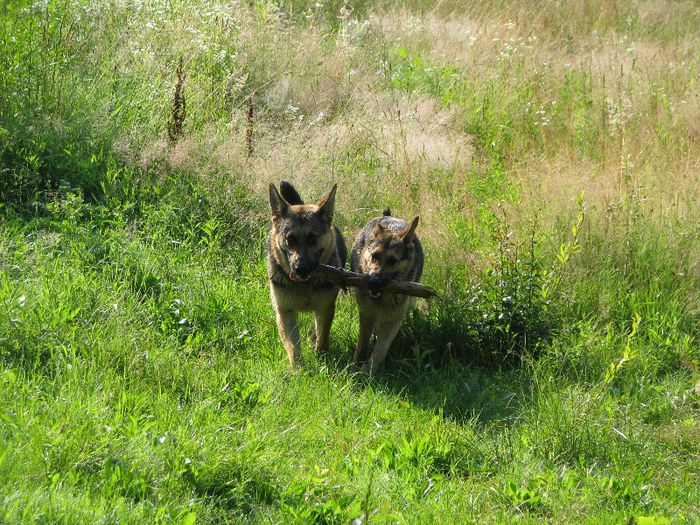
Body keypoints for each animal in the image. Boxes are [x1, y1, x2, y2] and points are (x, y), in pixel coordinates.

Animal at [266, 182, 346, 366]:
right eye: (290, 239)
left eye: (313, 238)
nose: (300, 268)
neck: (304, 286)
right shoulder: (285, 312)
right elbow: (293, 348)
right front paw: (299, 369)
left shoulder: (325, 308)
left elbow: (322, 338)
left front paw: (322, 359)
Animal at [350, 209, 422, 372]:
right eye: (374, 256)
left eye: (392, 261)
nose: (373, 282)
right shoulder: (366, 314)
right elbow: (362, 342)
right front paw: (355, 365)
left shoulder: (393, 320)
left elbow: (381, 349)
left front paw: (367, 371)